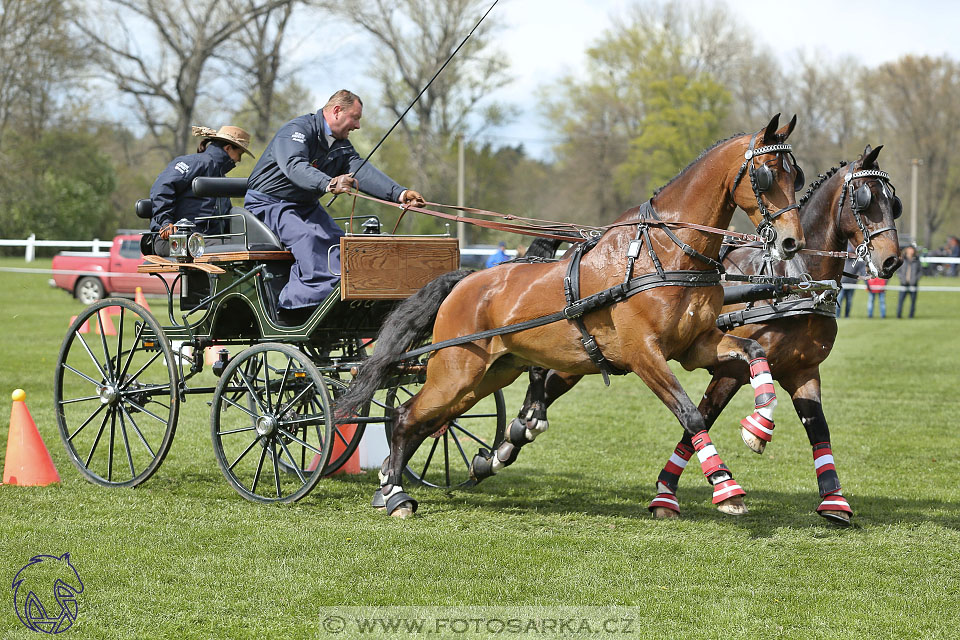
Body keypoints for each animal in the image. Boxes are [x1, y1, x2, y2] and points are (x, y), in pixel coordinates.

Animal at [338, 114, 804, 516]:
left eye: (795, 176)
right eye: (766, 174)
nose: (791, 242)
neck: (663, 254)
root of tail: (466, 280)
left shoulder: (696, 345)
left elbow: (753, 352)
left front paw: (758, 426)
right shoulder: (644, 355)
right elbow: (690, 414)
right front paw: (726, 485)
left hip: (487, 374)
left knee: (424, 419)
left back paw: (390, 484)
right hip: (455, 370)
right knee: (407, 417)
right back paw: (395, 494)